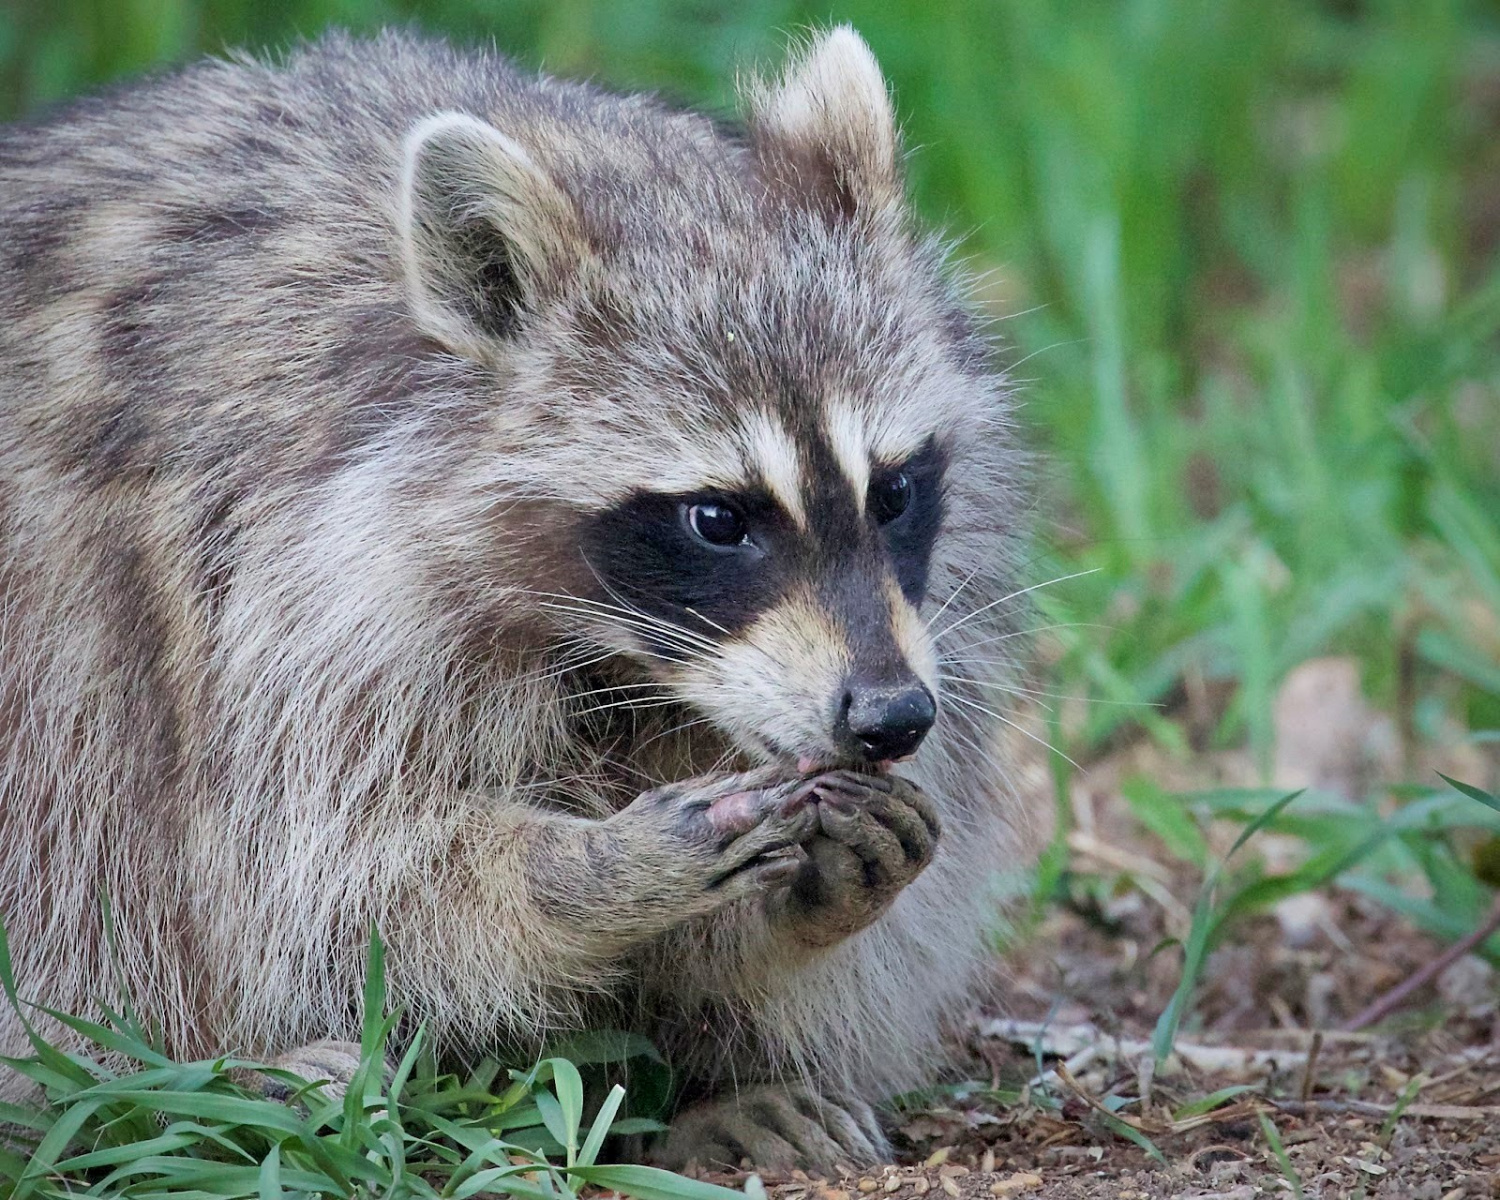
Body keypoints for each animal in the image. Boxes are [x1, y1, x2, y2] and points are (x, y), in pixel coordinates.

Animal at [0, 25, 1032, 1170]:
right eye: (718, 519)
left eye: (893, 491)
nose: (891, 716)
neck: (629, 664)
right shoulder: (293, 600)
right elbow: (341, 890)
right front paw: (583, 876)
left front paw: (789, 928)